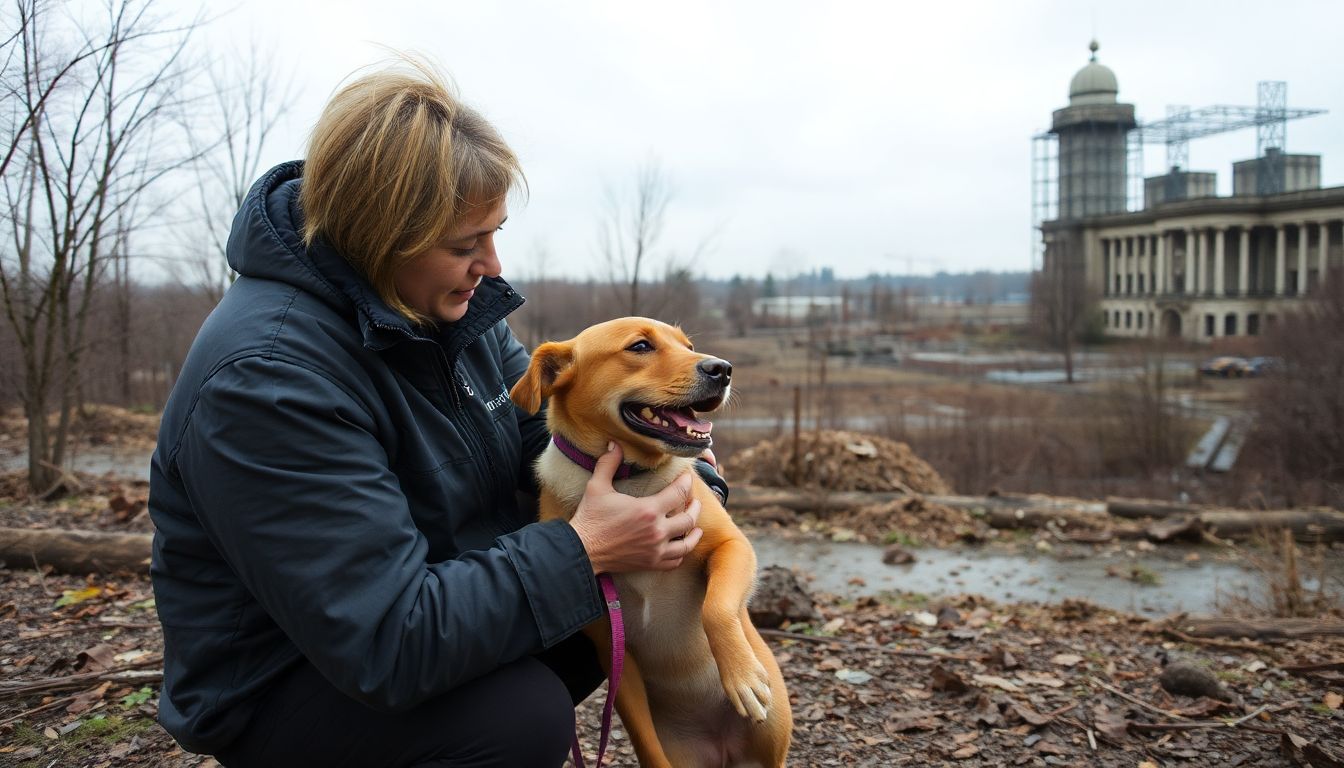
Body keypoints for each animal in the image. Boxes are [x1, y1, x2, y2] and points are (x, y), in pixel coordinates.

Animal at [510, 316, 784, 763]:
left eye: (687, 345)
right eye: (639, 346)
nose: (723, 369)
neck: (629, 482)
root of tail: (721, 748)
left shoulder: (732, 546)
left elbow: (717, 607)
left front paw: (742, 677)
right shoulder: (616, 657)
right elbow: (647, 744)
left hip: (773, 735)